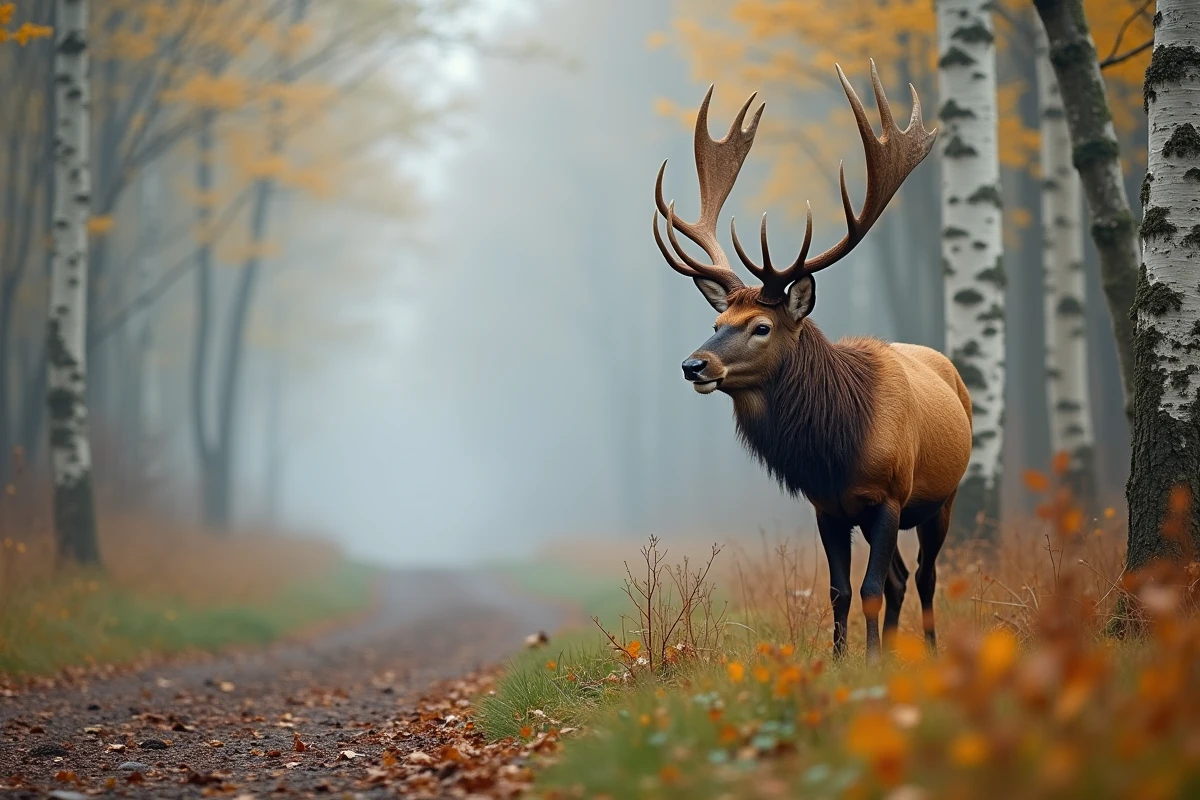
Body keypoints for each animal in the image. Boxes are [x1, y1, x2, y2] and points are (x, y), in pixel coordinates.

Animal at [652, 61, 973, 662]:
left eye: (761, 326)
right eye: (717, 323)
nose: (693, 366)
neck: (837, 449)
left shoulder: (889, 495)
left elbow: (870, 587)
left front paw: (869, 662)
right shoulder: (828, 506)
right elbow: (841, 589)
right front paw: (844, 659)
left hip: (943, 497)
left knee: (924, 576)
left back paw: (931, 650)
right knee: (900, 578)